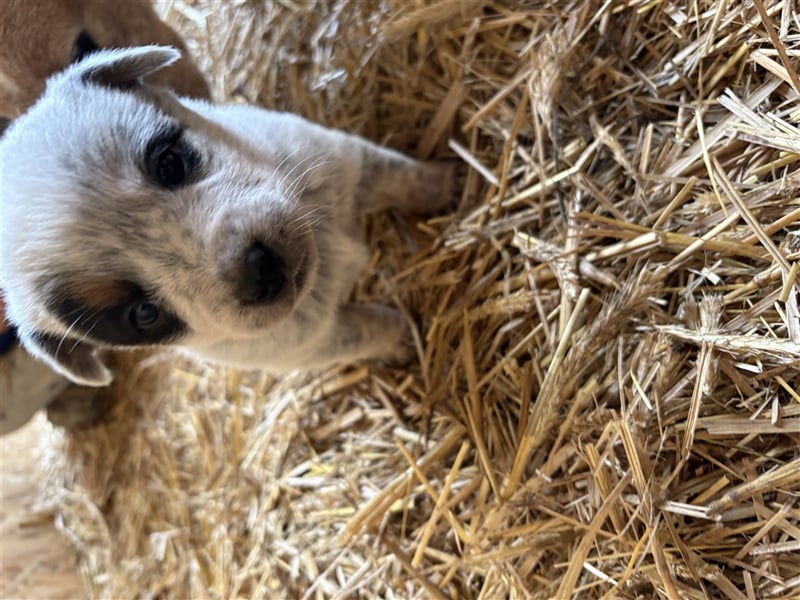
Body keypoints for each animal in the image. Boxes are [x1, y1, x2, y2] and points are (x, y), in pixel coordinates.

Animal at [0, 45, 456, 384]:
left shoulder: (345, 159)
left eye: (170, 164)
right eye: (144, 315)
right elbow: (368, 330)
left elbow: (403, 177)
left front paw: (454, 182)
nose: (258, 271)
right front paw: (403, 341)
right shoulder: (310, 342)